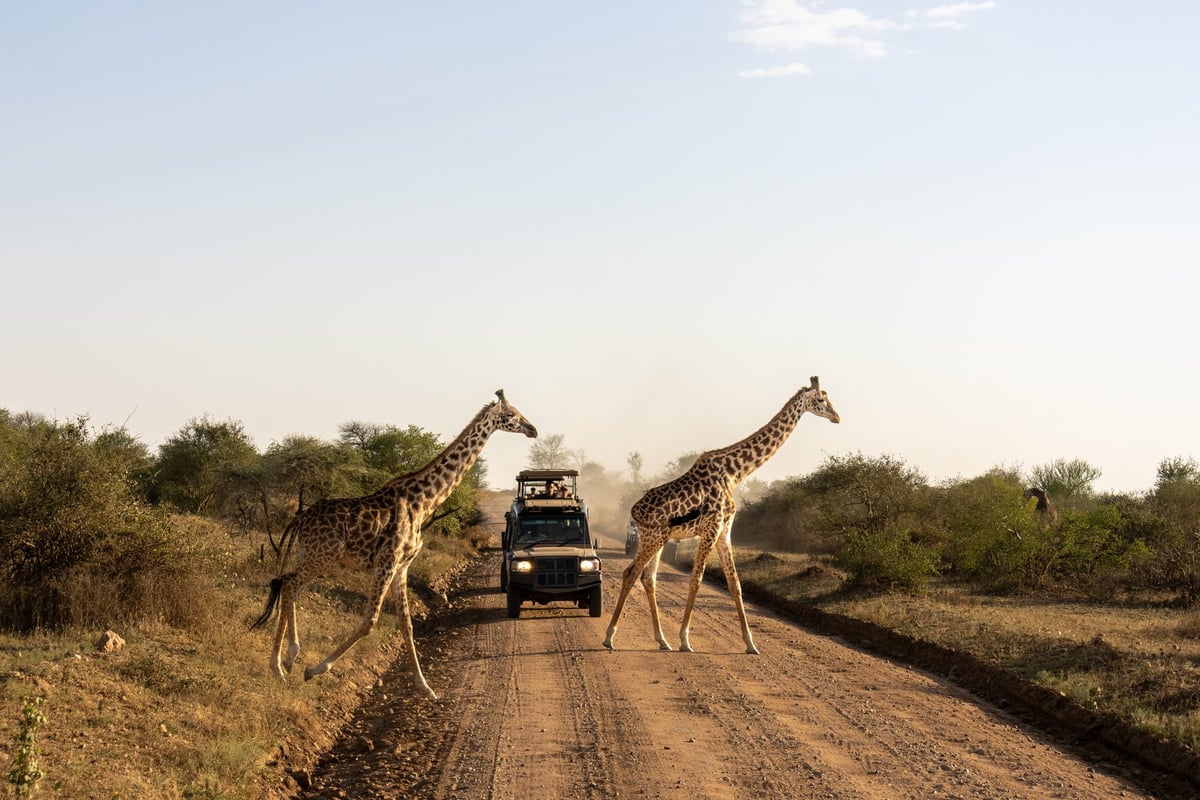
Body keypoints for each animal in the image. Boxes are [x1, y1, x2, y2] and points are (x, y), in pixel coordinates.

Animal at [251, 389, 537, 700]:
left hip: (308, 554)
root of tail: (300, 518)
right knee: (289, 583)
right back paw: (286, 660)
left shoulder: (402, 565)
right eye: (511, 415)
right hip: (323, 555)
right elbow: (370, 620)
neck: (424, 501)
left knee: (287, 584)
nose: (533, 430)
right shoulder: (386, 561)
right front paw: (315, 669)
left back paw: (283, 663)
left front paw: (426, 687)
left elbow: (406, 623)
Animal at [603, 376, 840, 654]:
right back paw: (610, 637)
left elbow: (735, 582)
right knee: (630, 573)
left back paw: (662, 640)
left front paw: (751, 644)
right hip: (653, 537)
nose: (837, 417)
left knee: (648, 578)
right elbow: (696, 579)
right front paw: (685, 640)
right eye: (821, 399)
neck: (736, 473)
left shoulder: (725, 530)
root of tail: (634, 511)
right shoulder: (712, 527)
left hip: (659, 539)